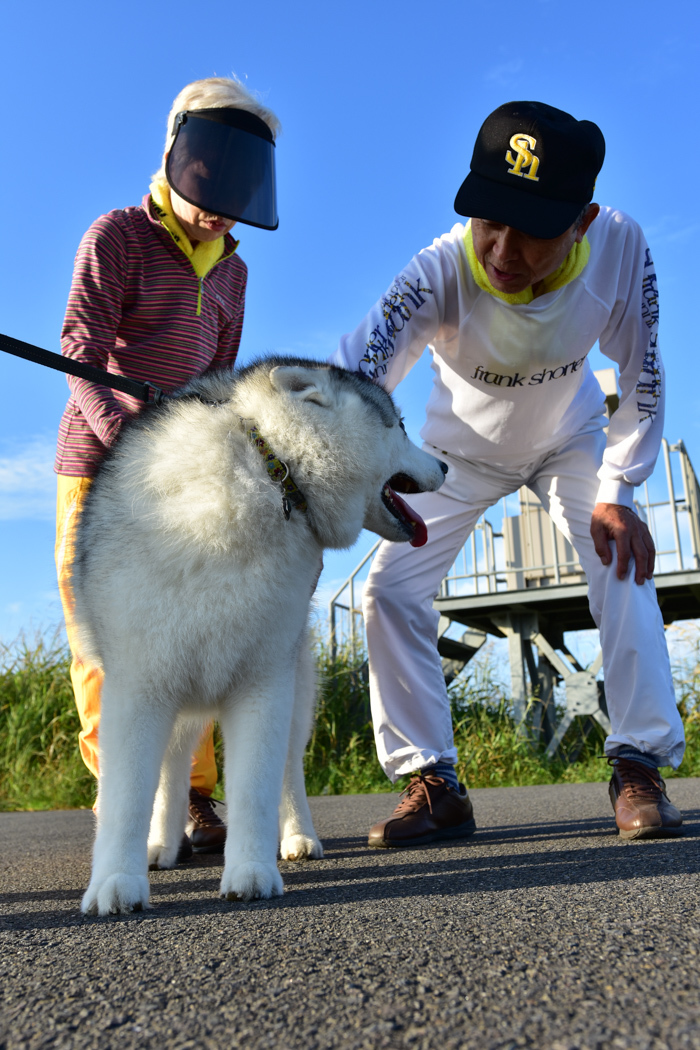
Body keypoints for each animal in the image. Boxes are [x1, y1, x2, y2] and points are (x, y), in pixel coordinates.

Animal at [73, 356, 447, 915]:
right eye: (399, 426)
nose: (445, 466)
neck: (269, 470)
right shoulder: (139, 689)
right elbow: (128, 796)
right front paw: (118, 879)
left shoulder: (262, 684)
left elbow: (255, 786)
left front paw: (250, 871)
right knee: (172, 770)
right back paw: (160, 845)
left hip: (293, 692)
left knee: (287, 771)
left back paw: (297, 837)